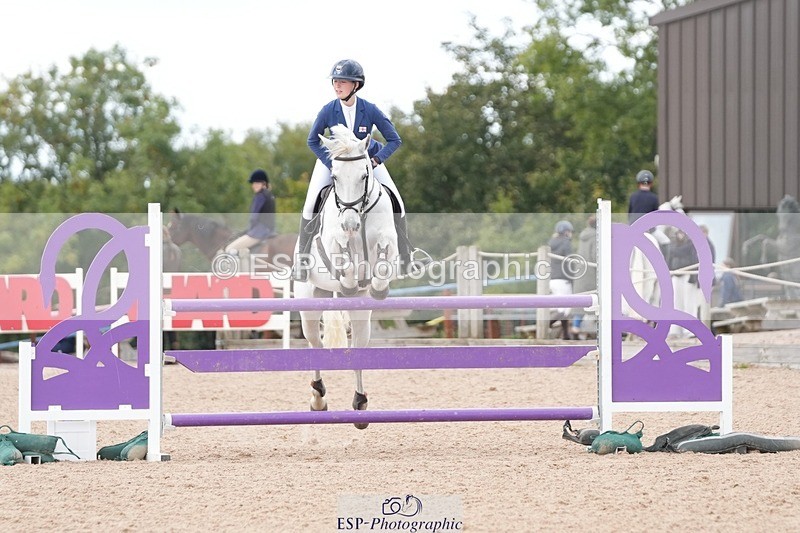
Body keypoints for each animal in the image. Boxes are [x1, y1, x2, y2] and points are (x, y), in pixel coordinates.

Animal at [294, 124, 399, 429]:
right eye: (335, 177)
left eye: (364, 175)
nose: (350, 224)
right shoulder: (332, 242)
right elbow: (344, 257)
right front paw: (350, 279)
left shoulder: (389, 241)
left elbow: (383, 263)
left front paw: (378, 288)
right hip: (309, 301)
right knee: (314, 343)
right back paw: (318, 399)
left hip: (360, 313)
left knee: (358, 347)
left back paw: (360, 403)